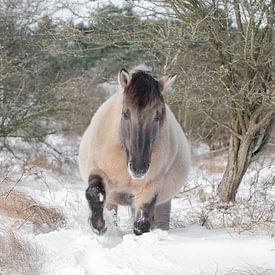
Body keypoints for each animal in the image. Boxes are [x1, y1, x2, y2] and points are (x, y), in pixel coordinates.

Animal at [78, 67, 191, 237]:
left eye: (157, 117)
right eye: (125, 114)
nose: (139, 168)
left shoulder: (150, 188)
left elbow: (141, 225)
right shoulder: (98, 171)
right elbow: (94, 193)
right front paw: (99, 226)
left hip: (162, 203)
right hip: (113, 199)